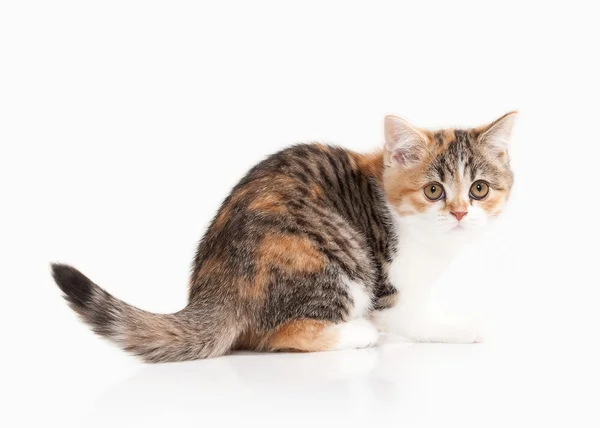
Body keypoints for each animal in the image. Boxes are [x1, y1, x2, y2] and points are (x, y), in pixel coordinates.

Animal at [51, 112, 516, 362]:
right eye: (433, 190)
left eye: (479, 189)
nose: (459, 212)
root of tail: (215, 287)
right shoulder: (388, 282)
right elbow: (407, 317)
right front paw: (461, 328)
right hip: (337, 253)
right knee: (278, 334)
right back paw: (358, 333)